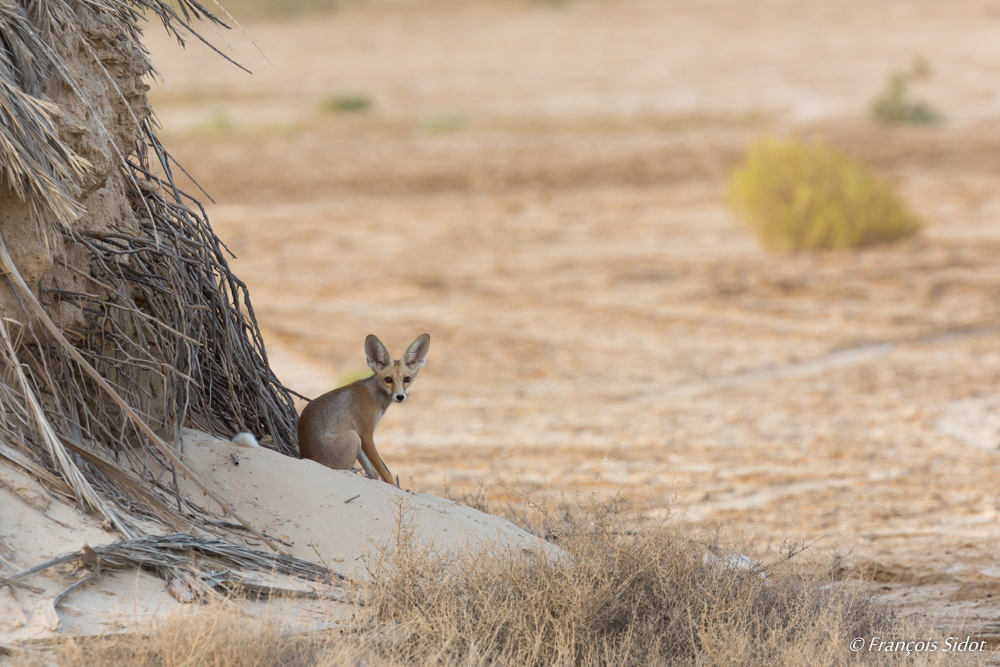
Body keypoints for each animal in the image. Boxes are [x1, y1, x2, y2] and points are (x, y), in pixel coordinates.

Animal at [292, 334, 426, 486]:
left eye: (407, 379)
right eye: (388, 379)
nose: (400, 396)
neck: (374, 395)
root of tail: (306, 456)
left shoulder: (361, 437)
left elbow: (372, 472)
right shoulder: (365, 434)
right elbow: (385, 472)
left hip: (355, 438)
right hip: (353, 437)